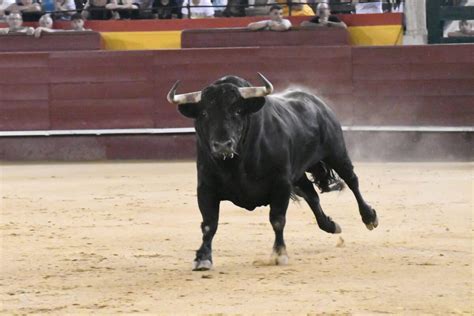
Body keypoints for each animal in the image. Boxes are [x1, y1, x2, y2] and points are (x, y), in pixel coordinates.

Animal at [167, 74, 378, 272]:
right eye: (204, 113)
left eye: (238, 111)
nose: (222, 146)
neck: (235, 163)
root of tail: (317, 103)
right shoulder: (206, 188)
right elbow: (209, 224)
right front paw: (203, 258)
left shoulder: (281, 184)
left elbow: (277, 219)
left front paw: (279, 254)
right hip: (299, 175)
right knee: (312, 195)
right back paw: (330, 225)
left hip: (336, 152)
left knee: (352, 181)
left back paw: (369, 217)